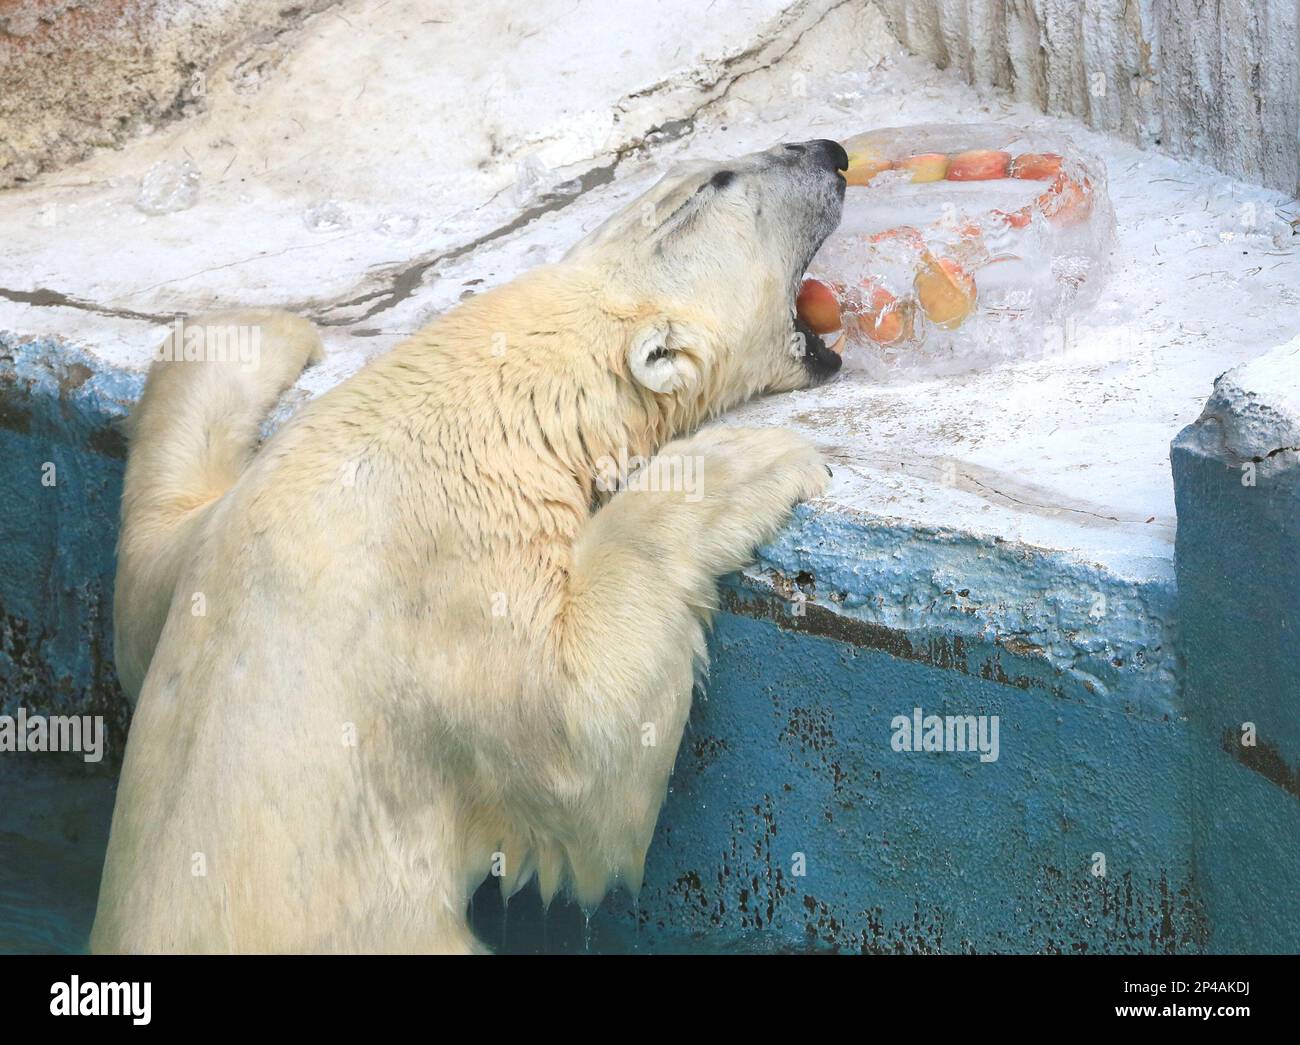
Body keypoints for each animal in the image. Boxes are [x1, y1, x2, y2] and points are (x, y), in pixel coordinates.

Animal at [92, 138, 848, 953]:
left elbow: (146, 567)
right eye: (722, 179)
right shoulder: (458, 577)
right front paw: (749, 462)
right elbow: (586, 751)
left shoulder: (209, 546)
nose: (830, 152)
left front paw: (258, 327)